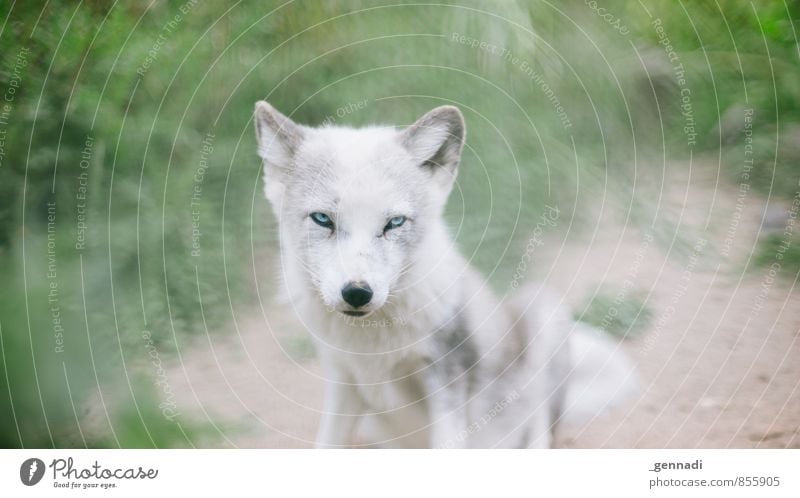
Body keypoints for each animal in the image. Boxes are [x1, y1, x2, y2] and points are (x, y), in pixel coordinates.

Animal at [253, 100, 640, 448]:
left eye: (394, 223)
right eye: (323, 219)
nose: (358, 292)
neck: (374, 344)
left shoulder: (447, 374)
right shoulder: (343, 379)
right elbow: (327, 444)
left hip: (543, 309)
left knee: (541, 432)